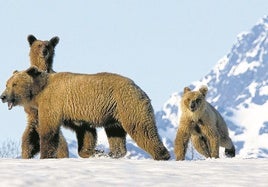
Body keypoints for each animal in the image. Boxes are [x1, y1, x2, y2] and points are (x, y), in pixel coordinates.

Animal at [1, 66, 171, 160]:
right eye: (7, 83)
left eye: (14, 84)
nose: (3, 96)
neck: (39, 92)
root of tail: (138, 87)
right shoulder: (75, 114)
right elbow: (85, 132)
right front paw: (94, 152)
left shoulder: (53, 103)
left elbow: (49, 130)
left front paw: (46, 155)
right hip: (113, 113)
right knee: (116, 135)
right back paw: (113, 153)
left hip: (127, 104)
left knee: (141, 128)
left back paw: (162, 155)